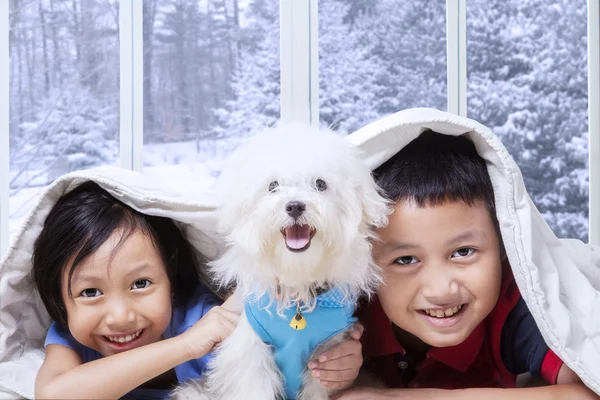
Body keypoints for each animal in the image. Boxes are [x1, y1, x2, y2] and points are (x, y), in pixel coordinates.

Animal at [172, 125, 390, 400]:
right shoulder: (251, 353)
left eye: (320, 184)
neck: (297, 286)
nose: (295, 206)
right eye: (273, 186)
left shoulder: (327, 354)